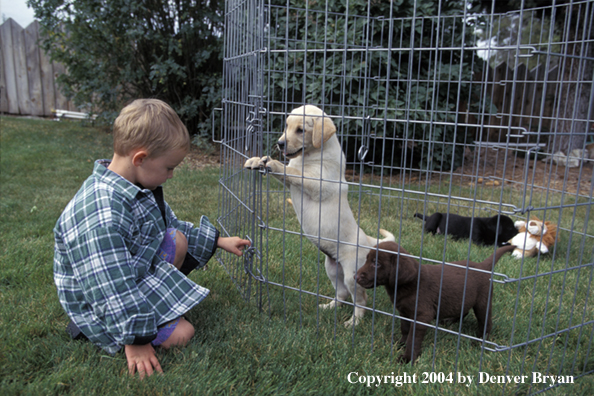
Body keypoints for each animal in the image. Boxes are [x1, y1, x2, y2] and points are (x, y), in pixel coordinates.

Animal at [243, 105, 390, 328]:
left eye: (301, 130)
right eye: (287, 126)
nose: (280, 143)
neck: (310, 154)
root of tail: (368, 241)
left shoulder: (316, 183)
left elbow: (291, 171)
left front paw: (273, 163)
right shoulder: (291, 182)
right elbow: (288, 172)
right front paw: (257, 160)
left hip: (352, 274)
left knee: (360, 300)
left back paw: (354, 322)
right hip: (332, 269)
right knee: (342, 294)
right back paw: (329, 307)